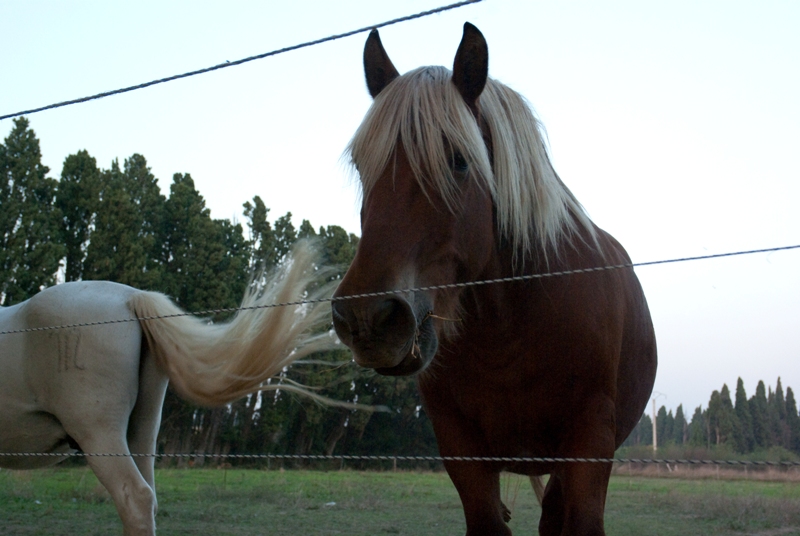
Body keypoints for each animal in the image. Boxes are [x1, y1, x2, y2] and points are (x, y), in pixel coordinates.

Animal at [332, 23, 656, 532]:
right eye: (363, 167)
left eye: (459, 161)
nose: (368, 317)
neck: (510, 329)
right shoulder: (460, 448)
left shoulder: (590, 444)